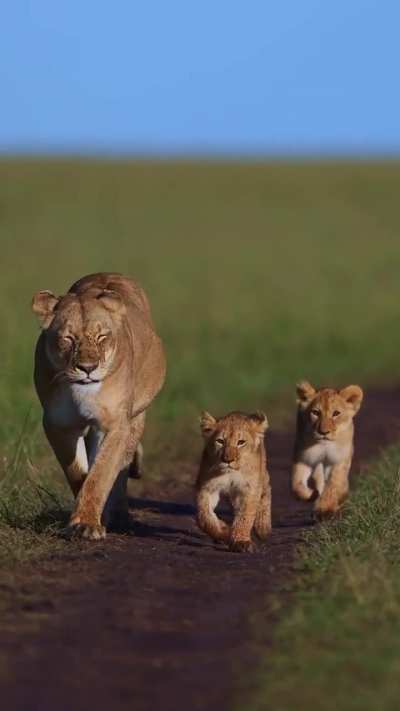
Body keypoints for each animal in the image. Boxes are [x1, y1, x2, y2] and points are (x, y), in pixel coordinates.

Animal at [32, 272, 166, 540]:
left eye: (102, 337)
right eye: (68, 338)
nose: (88, 368)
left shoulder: (114, 424)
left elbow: (101, 473)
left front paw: (86, 523)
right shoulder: (58, 424)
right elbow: (77, 472)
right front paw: (88, 516)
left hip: (136, 416)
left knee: (122, 467)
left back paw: (122, 514)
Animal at [195, 411, 271, 552]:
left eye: (241, 442)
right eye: (220, 441)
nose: (227, 460)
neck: (230, 473)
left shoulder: (249, 488)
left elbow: (245, 515)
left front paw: (241, 541)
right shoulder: (207, 487)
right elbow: (204, 518)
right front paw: (224, 532)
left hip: (262, 474)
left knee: (266, 491)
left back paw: (263, 528)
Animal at [292, 381, 363, 516]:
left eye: (336, 413)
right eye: (315, 412)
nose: (323, 432)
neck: (324, 446)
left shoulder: (339, 460)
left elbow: (333, 484)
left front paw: (324, 508)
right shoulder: (304, 457)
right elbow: (295, 484)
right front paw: (312, 495)